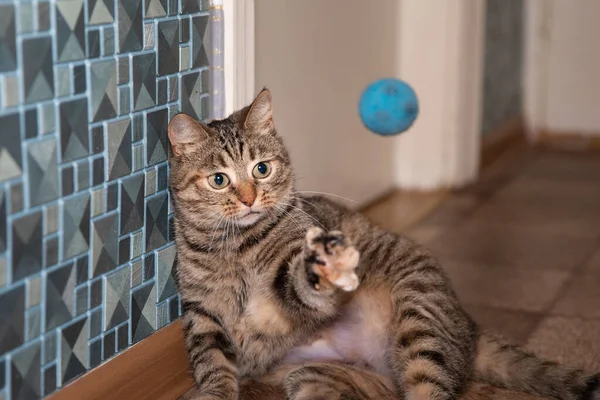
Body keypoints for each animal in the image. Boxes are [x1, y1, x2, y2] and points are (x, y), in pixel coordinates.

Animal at [165, 88, 600, 400]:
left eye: (262, 169)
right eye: (218, 179)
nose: (249, 198)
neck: (236, 248)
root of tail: (471, 329)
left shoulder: (289, 280)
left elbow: (297, 288)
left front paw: (323, 267)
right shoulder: (202, 312)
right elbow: (212, 362)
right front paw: (213, 392)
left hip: (419, 321)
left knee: (431, 389)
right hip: (318, 379)